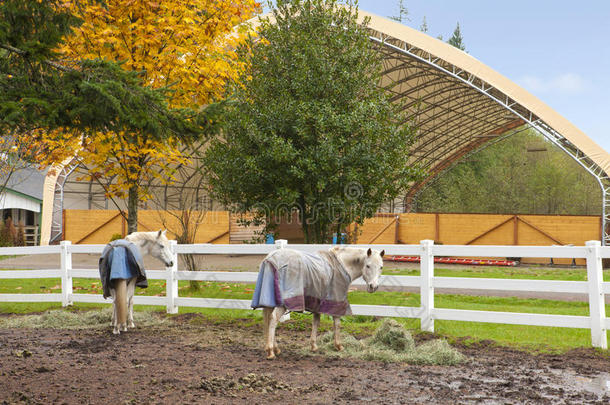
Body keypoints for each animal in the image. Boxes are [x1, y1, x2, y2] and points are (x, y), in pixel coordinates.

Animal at [249, 245, 382, 358]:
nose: (373, 286)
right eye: (368, 265)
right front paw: (338, 345)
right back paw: (271, 351)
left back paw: (275, 348)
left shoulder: (317, 302)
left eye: (381, 267)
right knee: (273, 320)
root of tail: (270, 260)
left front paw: (313, 346)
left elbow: (316, 322)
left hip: (270, 301)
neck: (342, 263)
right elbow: (337, 324)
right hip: (282, 304)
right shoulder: (337, 301)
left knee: (268, 320)